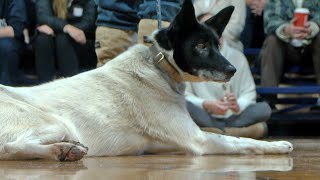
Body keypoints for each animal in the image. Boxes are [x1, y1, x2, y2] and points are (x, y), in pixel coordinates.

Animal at [0, 0, 292, 160]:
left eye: (216, 45)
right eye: (200, 46)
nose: (232, 70)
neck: (159, 66)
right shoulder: (199, 140)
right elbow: (243, 142)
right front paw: (278, 145)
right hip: (55, 124)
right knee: (10, 148)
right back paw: (60, 151)